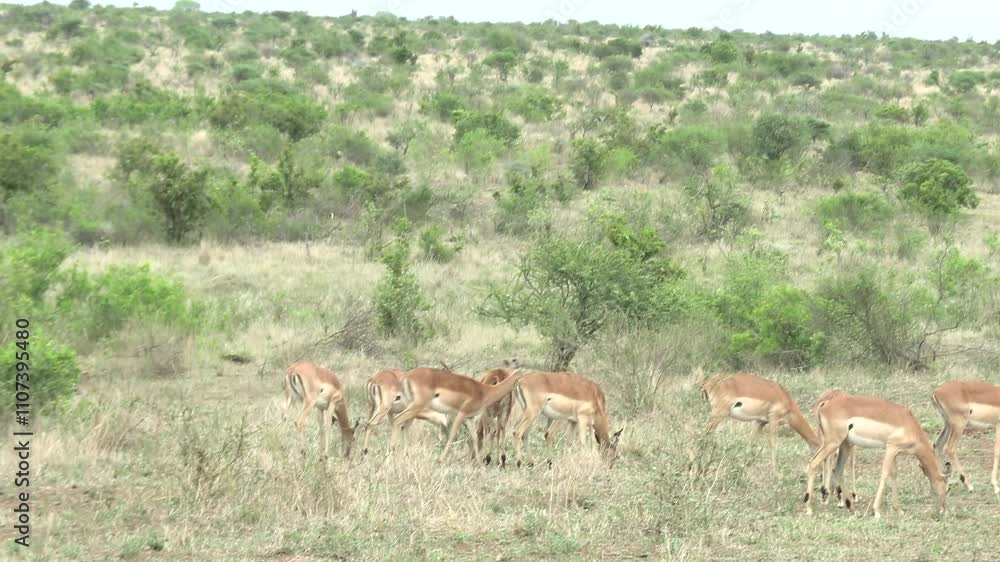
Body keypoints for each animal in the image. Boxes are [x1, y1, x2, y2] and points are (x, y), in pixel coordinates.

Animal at [390, 367, 523, 461]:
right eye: (522, 375)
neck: (484, 391)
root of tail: (407, 375)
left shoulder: (469, 418)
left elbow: (474, 438)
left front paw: (479, 463)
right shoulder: (461, 414)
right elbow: (453, 435)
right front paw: (440, 460)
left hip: (412, 408)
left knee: (403, 425)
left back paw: (404, 456)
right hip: (416, 407)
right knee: (397, 420)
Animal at [805, 392, 947, 518]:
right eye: (947, 488)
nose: (943, 509)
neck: (909, 424)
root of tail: (825, 405)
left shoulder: (894, 452)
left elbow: (894, 475)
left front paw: (898, 510)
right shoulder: (891, 448)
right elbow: (885, 474)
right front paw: (877, 511)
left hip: (844, 445)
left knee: (837, 470)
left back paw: (853, 509)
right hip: (833, 443)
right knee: (813, 463)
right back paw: (809, 508)